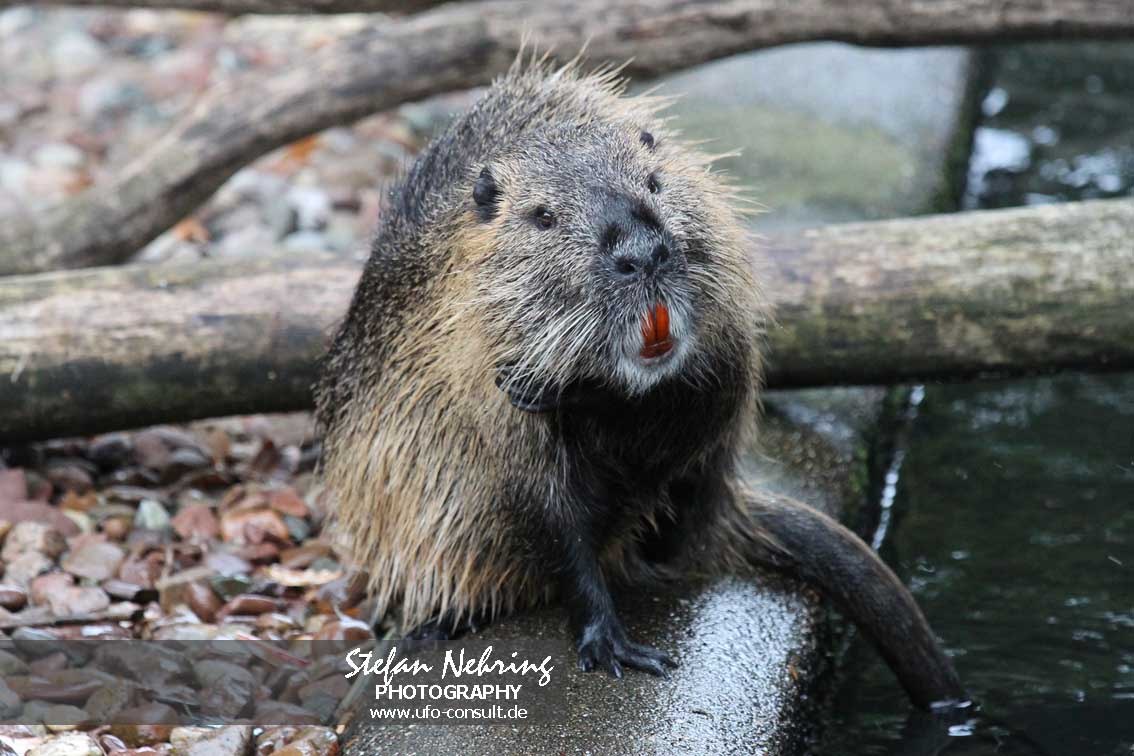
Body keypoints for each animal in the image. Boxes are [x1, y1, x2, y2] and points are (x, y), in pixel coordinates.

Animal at [316, 59, 965, 709]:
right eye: (542, 217)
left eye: (654, 182)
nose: (643, 252)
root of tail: (728, 511)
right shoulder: (476, 396)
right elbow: (552, 522)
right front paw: (612, 646)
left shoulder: (727, 335)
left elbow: (706, 401)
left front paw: (569, 390)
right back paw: (437, 625)